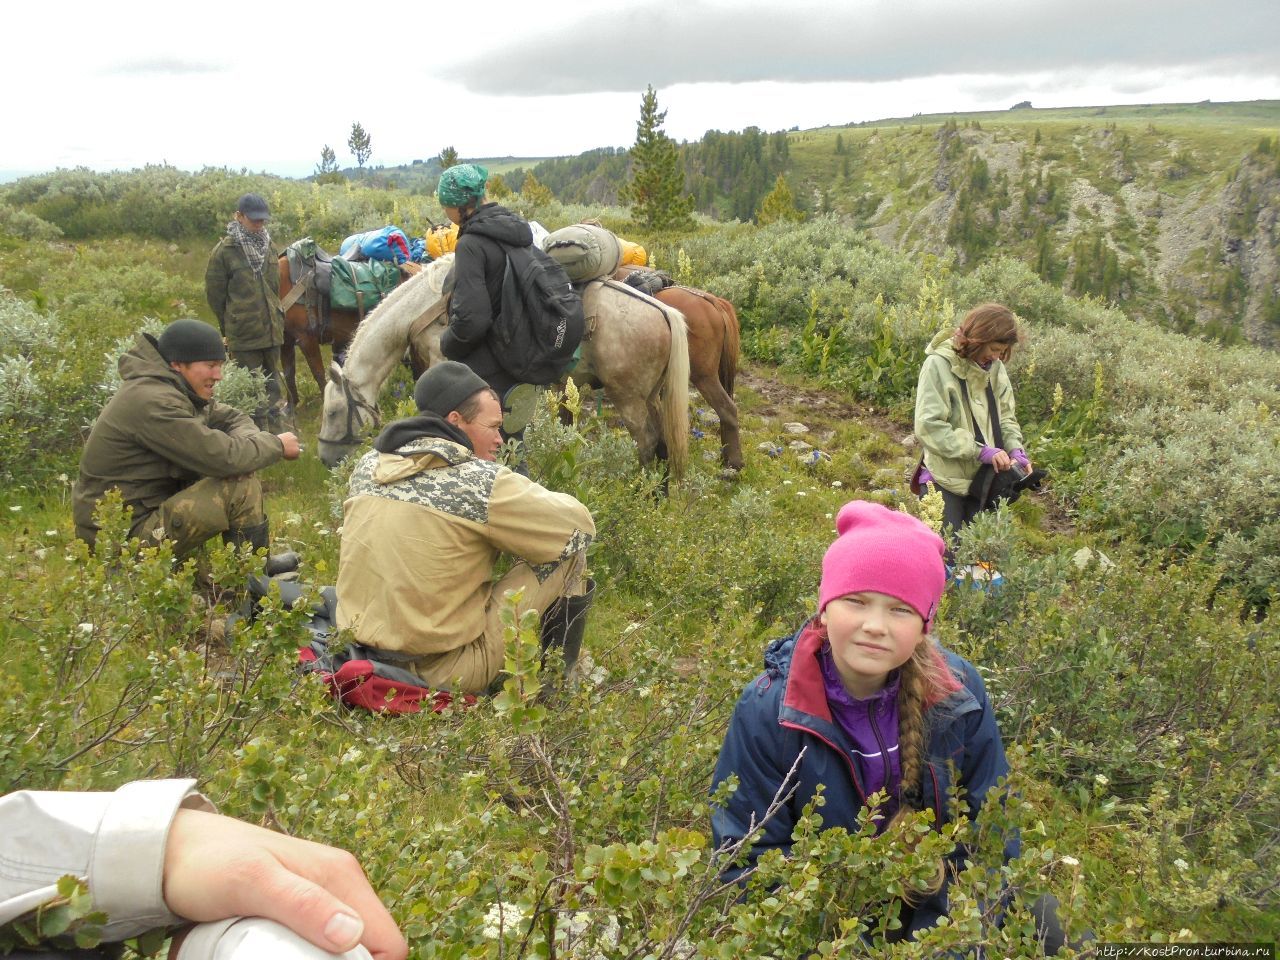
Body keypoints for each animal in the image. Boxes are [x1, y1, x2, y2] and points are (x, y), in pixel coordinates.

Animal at [317, 256, 691, 481]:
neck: (424, 312)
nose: (325, 459)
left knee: (647, 442)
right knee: (662, 443)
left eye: (333, 412)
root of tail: (663, 311)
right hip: (651, 396)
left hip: (628, 398)